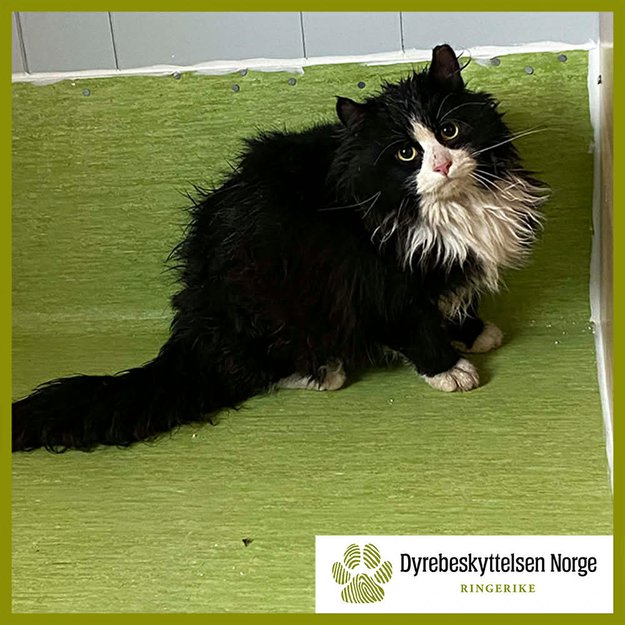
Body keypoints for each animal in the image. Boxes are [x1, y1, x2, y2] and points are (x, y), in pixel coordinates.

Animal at [12, 44, 548, 452]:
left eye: (449, 132)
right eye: (405, 153)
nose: (441, 165)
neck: (453, 211)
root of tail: (193, 328)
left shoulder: (446, 264)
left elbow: (457, 298)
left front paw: (473, 333)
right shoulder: (376, 277)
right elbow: (412, 324)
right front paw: (448, 368)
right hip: (272, 300)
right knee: (253, 370)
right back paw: (323, 372)